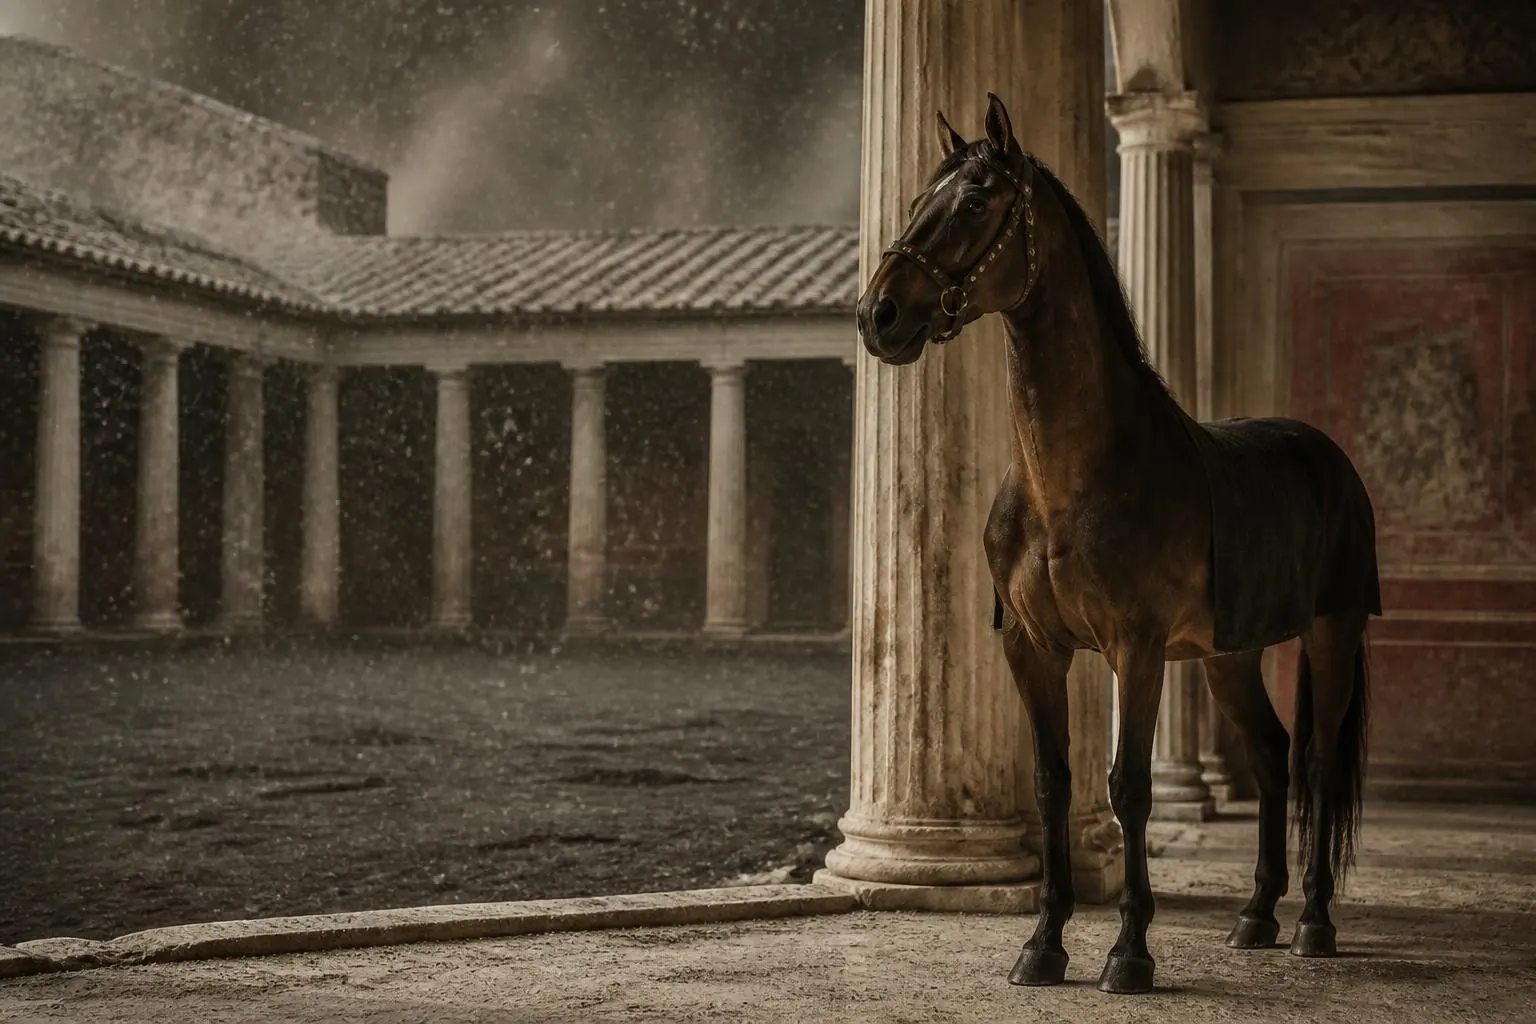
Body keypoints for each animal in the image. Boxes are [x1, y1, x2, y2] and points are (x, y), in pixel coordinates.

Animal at [854, 93, 1381, 995]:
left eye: (974, 201)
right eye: (921, 196)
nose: (878, 316)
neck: (1073, 476)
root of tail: (1327, 456)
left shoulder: (1134, 649)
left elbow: (1129, 787)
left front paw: (1129, 951)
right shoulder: (1034, 648)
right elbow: (1052, 783)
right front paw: (1043, 944)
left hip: (1331, 632)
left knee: (1313, 763)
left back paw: (1313, 922)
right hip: (1229, 656)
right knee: (1272, 754)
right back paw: (1256, 916)